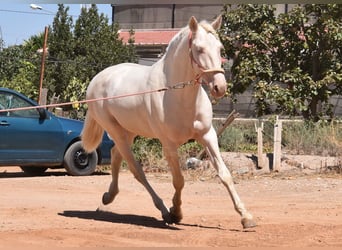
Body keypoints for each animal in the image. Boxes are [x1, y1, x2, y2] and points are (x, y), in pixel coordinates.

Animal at [81, 14, 255, 229]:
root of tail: (97, 79)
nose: (219, 87)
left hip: (129, 131)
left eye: (220, 48)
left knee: (115, 155)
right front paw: (176, 212)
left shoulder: (208, 136)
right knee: (137, 170)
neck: (176, 94)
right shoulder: (169, 145)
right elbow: (179, 180)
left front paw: (246, 217)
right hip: (115, 131)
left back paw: (108, 196)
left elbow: (225, 174)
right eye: (199, 49)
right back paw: (163, 210)